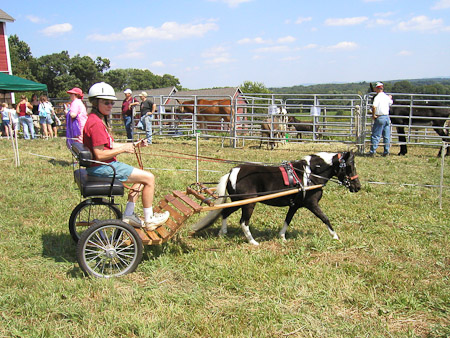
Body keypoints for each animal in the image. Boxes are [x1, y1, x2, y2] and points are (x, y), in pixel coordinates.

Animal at [192, 152, 360, 244]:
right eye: (349, 166)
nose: (357, 187)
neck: (309, 174)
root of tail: (233, 171)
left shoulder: (295, 205)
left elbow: (287, 220)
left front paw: (282, 236)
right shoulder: (311, 204)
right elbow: (325, 218)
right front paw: (335, 236)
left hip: (237, 201)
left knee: (225, 212)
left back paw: (223, 232)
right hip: (248, 203)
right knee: (244, 222)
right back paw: (253, 241)